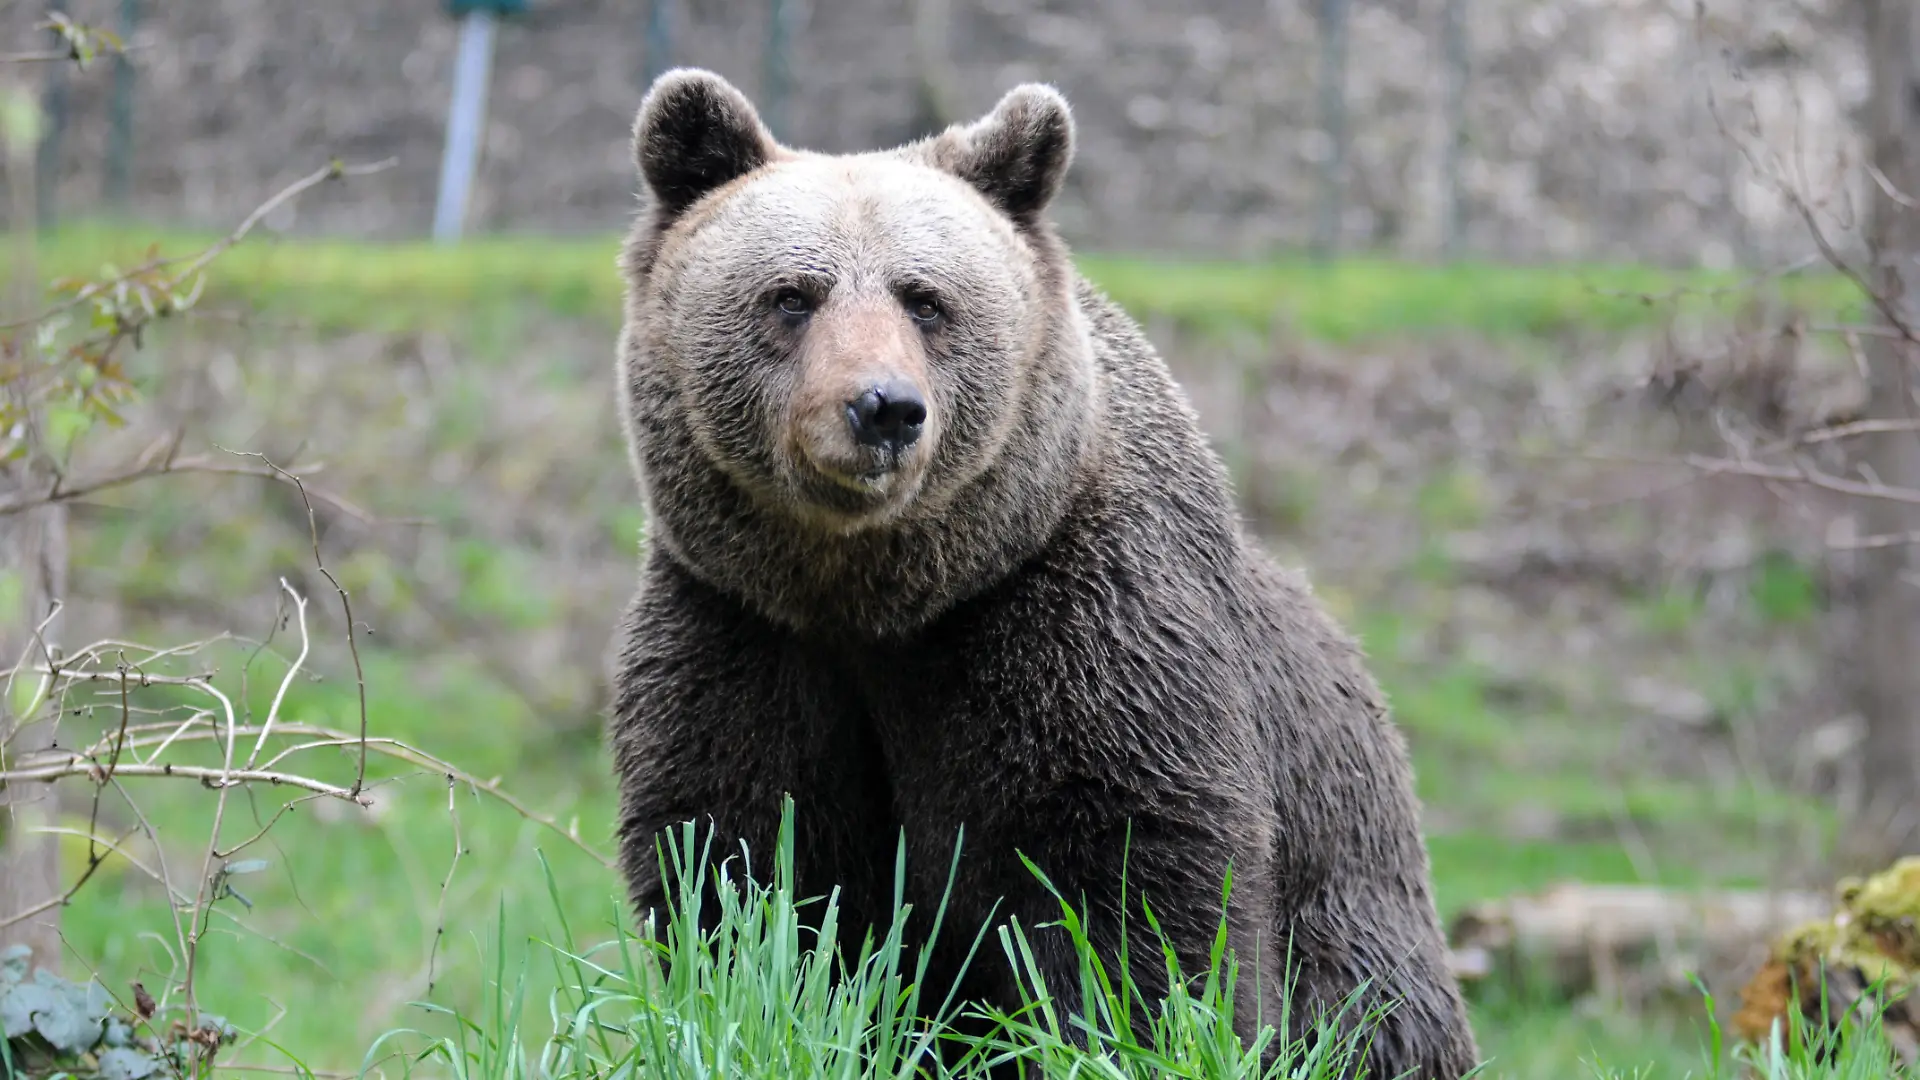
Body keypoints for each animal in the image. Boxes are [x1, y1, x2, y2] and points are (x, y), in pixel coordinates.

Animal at [605, 67, 1481, 1080]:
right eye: (792, 295)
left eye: (925, 298)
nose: (883, 407)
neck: (878, 595)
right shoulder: (742, 626)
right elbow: (747, 865)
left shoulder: (1070, 616)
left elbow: (1127, 877)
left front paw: (1115, 1031)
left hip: (1356, 904)